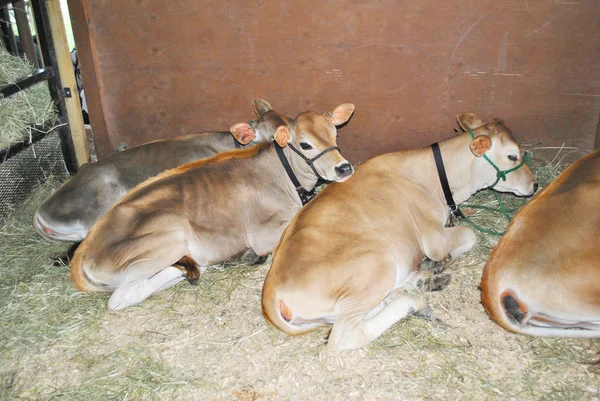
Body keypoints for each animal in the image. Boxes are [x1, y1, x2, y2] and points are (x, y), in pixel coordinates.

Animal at [69, 102, 356, 310]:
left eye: (334, 133)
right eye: (305, 144)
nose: (344, 168)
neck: (281, 173)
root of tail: (85, 249)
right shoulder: (263, 235)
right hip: (167, 235)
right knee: (124, 296)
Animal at [260, 112, 536, 350]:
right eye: (512, 156)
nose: (534, 184)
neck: (434, 179)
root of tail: (271, 292)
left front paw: (436, 265)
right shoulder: (433, 238)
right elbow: (470, 234)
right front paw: (442, 259)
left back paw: (424, 280)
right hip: (377, 265)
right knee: (346, 334)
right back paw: (413, 301)